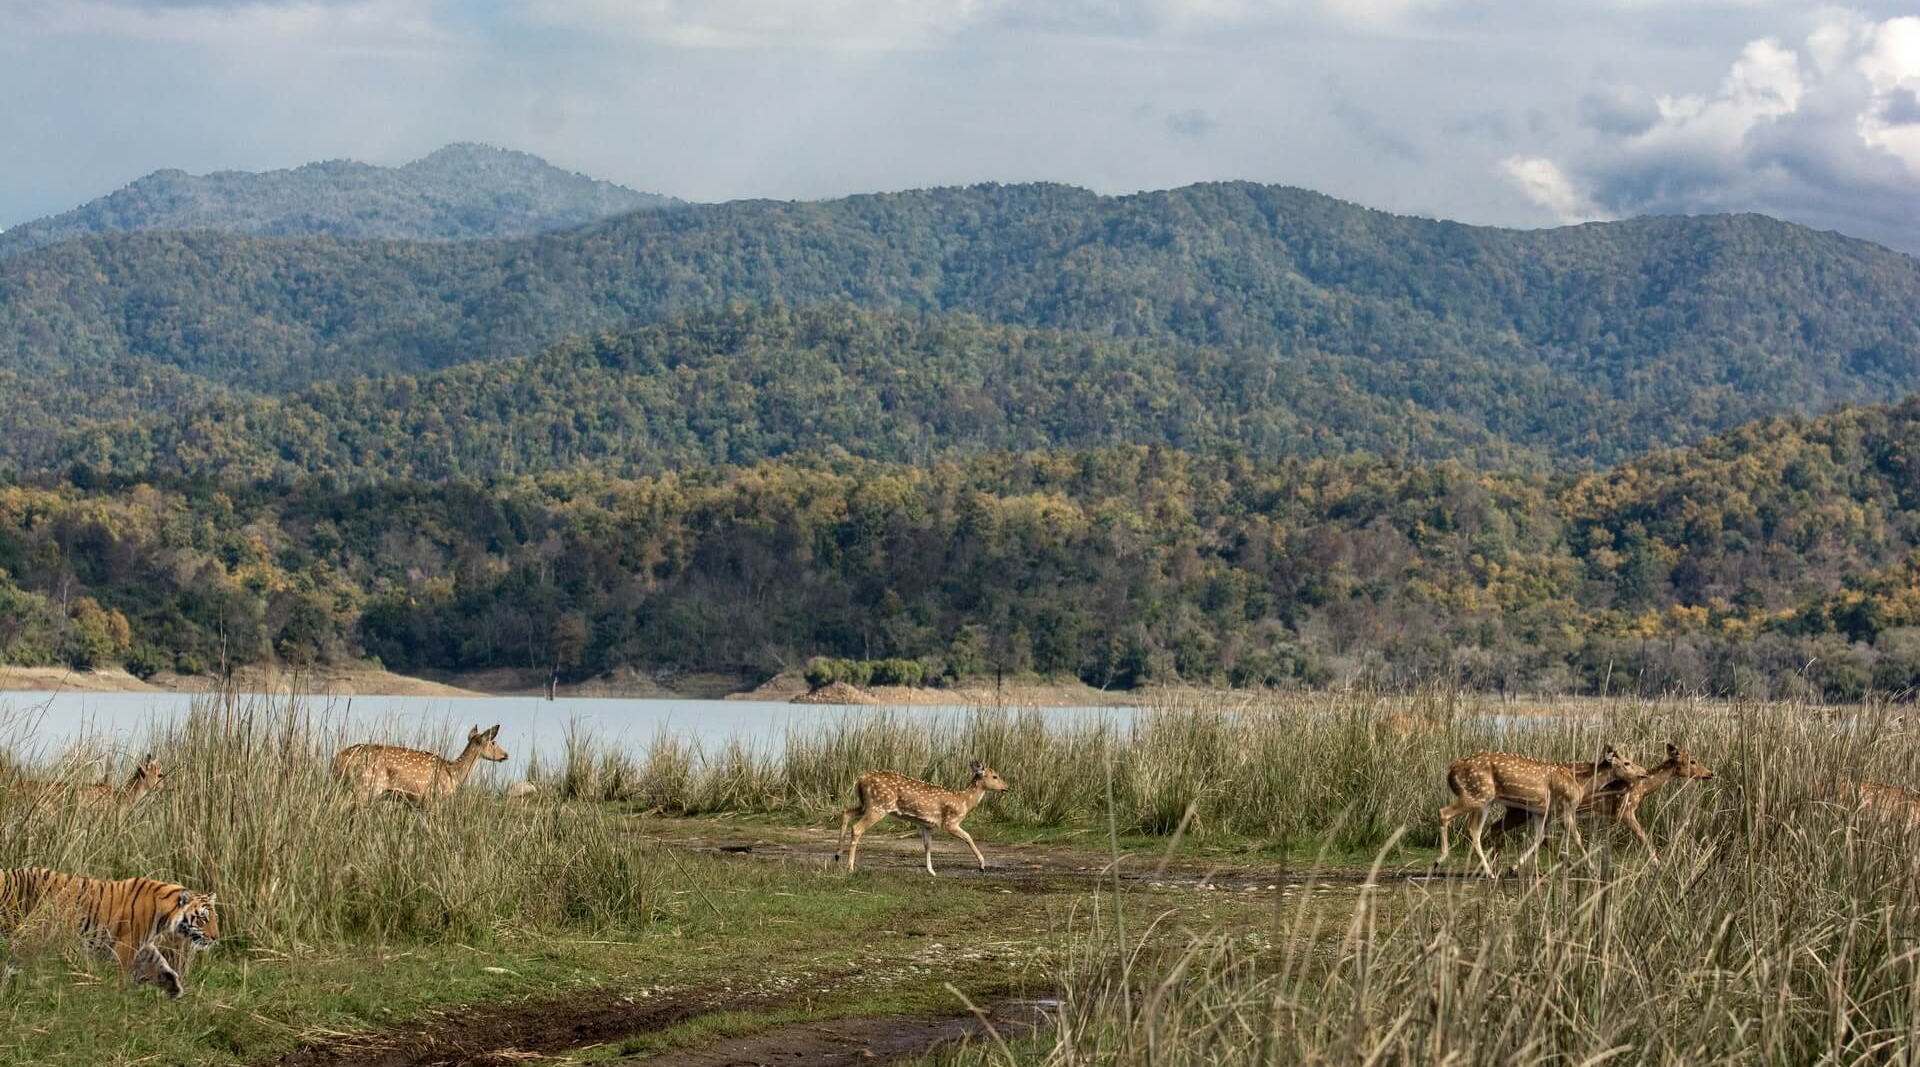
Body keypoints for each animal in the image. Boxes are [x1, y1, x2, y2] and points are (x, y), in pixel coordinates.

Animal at [0, 863, 219, 997]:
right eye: (203, 918)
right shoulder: (127, 944)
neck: (165, 914)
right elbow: (124, 972)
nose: (216, 938)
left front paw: (173, 985)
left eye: (215, 918)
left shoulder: (142, 944)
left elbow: (158, 962)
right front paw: (119, 996)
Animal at [332, 725, 506, 809]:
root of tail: (337, 759)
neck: (453, 774)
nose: (505, 754)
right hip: (365, 786)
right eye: (493, 742)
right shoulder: (432, 798)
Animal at [844, 759, 1021, 875]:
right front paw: (982, 865)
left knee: (846, 813)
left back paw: (839, 856)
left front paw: (931, 871)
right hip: (878, 806)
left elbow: (927, 845)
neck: (964, 801)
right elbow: (968, 837)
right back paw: (850, 867)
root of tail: (860, 779)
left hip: (866, 804)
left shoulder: (926, 824)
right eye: (995, 776)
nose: (1007, 787)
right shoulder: (949, 822)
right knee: (856, 828)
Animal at [1443, 744, 1651, 878]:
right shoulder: (1565, 806)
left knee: (1476, 830)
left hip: (1484, 800)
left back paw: (1491, 870)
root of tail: (1451, 771)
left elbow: (1539, 837)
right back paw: (1446, 860)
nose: (1644, 773)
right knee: (1445, 813)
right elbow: (1576, 837)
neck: (1580, 784)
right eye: (1627, 762)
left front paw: (1521, 868)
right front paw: (1592, 869)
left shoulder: (1541, 811)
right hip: (1476, 795)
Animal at [1489, 740, 1720, 867]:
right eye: (1692, 761)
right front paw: (1657, 863)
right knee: (1500, 828)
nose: (1710, 773)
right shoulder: (1623, 809)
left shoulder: (1604, 816)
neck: (1642, 789)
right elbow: (1644, 836)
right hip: (1523, 810)